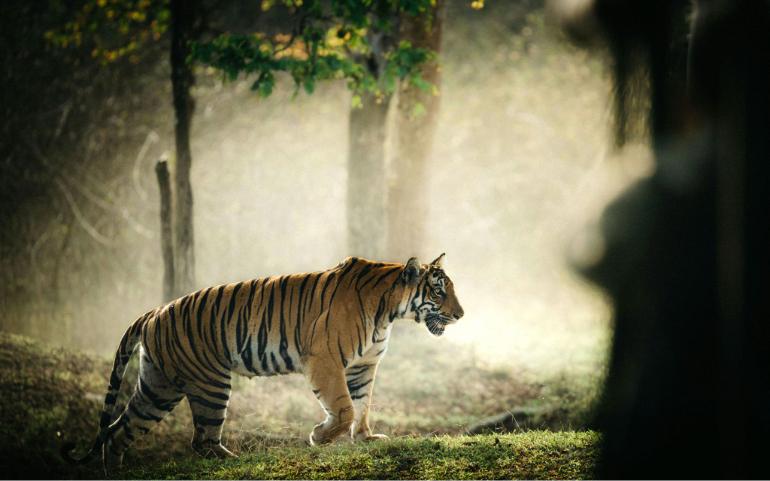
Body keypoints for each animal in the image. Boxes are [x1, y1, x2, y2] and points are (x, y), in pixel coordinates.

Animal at [61, 253, 464, 472]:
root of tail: (154, 311)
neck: (389, 312)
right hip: (210, 383)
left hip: (158, 386)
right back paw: (234, 461)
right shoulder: (325, 360)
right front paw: (320, 436)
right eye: (438, 291)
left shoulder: (363, 367)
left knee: (119, 430)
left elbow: (362, 406)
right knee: (200, 439)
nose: (461, 314)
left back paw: (116, 471)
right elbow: (345, 407)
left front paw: (365, 438)